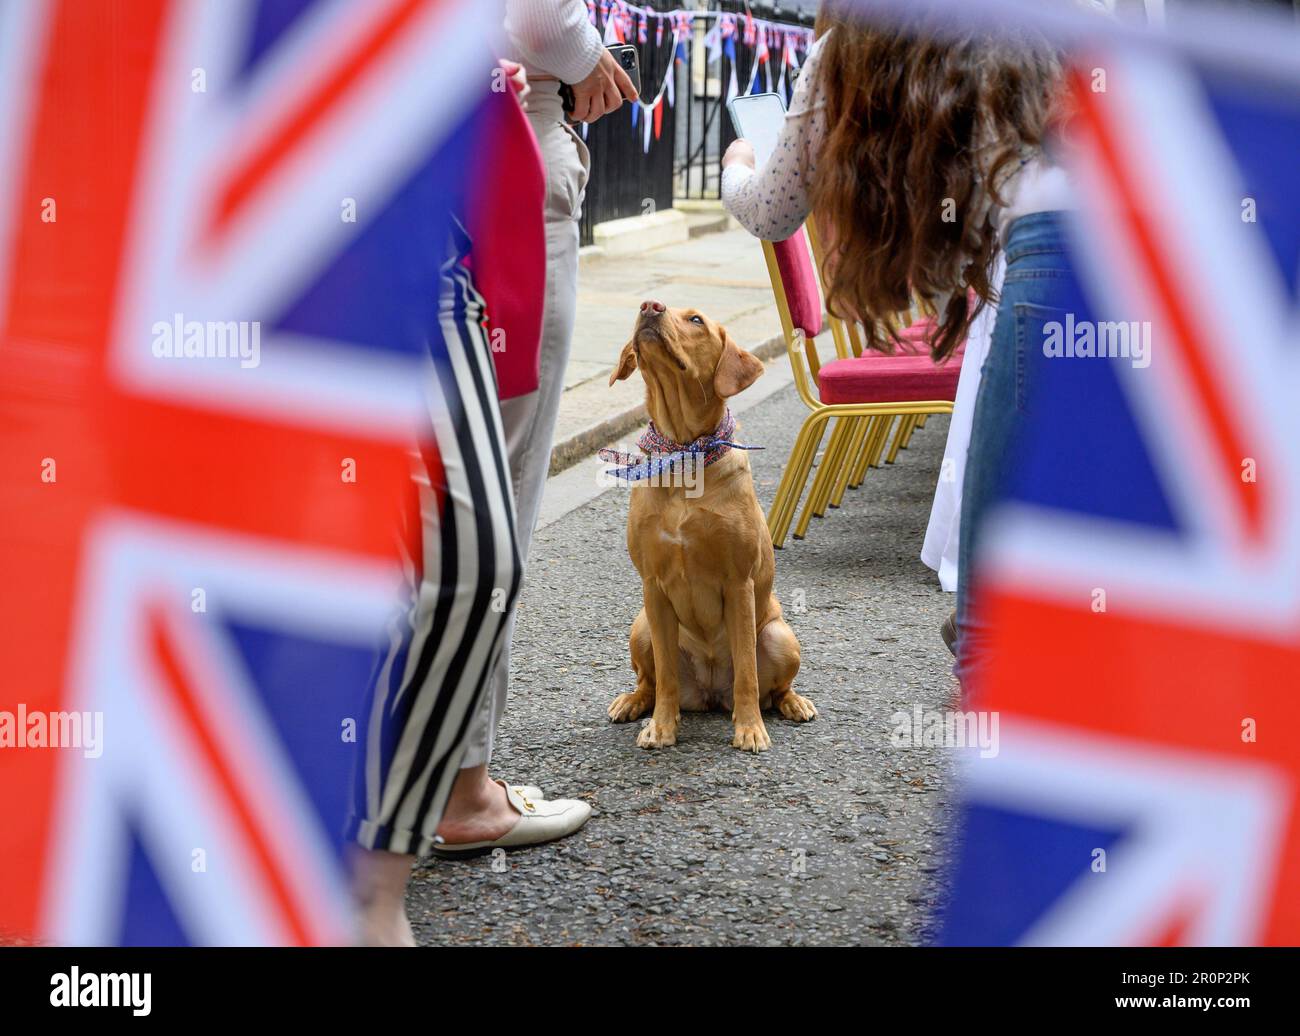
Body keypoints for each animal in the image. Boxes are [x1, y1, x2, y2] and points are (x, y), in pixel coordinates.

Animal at [605, 301, 811, 753]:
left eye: (696, 320)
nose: (649, 306)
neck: (684, 454)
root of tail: (709, 693)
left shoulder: (739, 583)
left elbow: (748, 673)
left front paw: (750, 729)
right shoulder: (653, 586)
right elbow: (664, 675)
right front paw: (661, 727)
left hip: (779, 636)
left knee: (772, 687)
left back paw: (793, 703)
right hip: (641, 627)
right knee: (650, 681)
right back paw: (631, 702)